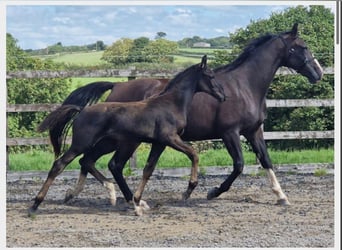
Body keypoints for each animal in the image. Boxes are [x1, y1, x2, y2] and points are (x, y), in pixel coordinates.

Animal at [28, 55, 227, 216]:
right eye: (211, 76)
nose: (223, 96)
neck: (170, 104)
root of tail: (81, 110)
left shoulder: (159, 143)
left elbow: (148, 169)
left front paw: (138, 203)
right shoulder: (169, 138)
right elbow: (194, 154)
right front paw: (188, 189)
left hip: (108, 143)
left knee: (89, 161)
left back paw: (109, 192)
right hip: (83, 143)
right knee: (60, 164)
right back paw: (35, 204)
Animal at [44, 23, 324, 211]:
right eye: (302, 47)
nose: (318, 72)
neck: (243, 86)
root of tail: (117, 85)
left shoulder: (253, 131)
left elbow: (266, 160)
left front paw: (281, 196)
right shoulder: (230, 133)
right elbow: (239, 165)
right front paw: (211, 192)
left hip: (113, 140)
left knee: (88, 160)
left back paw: (79, 194)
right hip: (123, 141)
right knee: (100, 162)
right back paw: (116, 196)